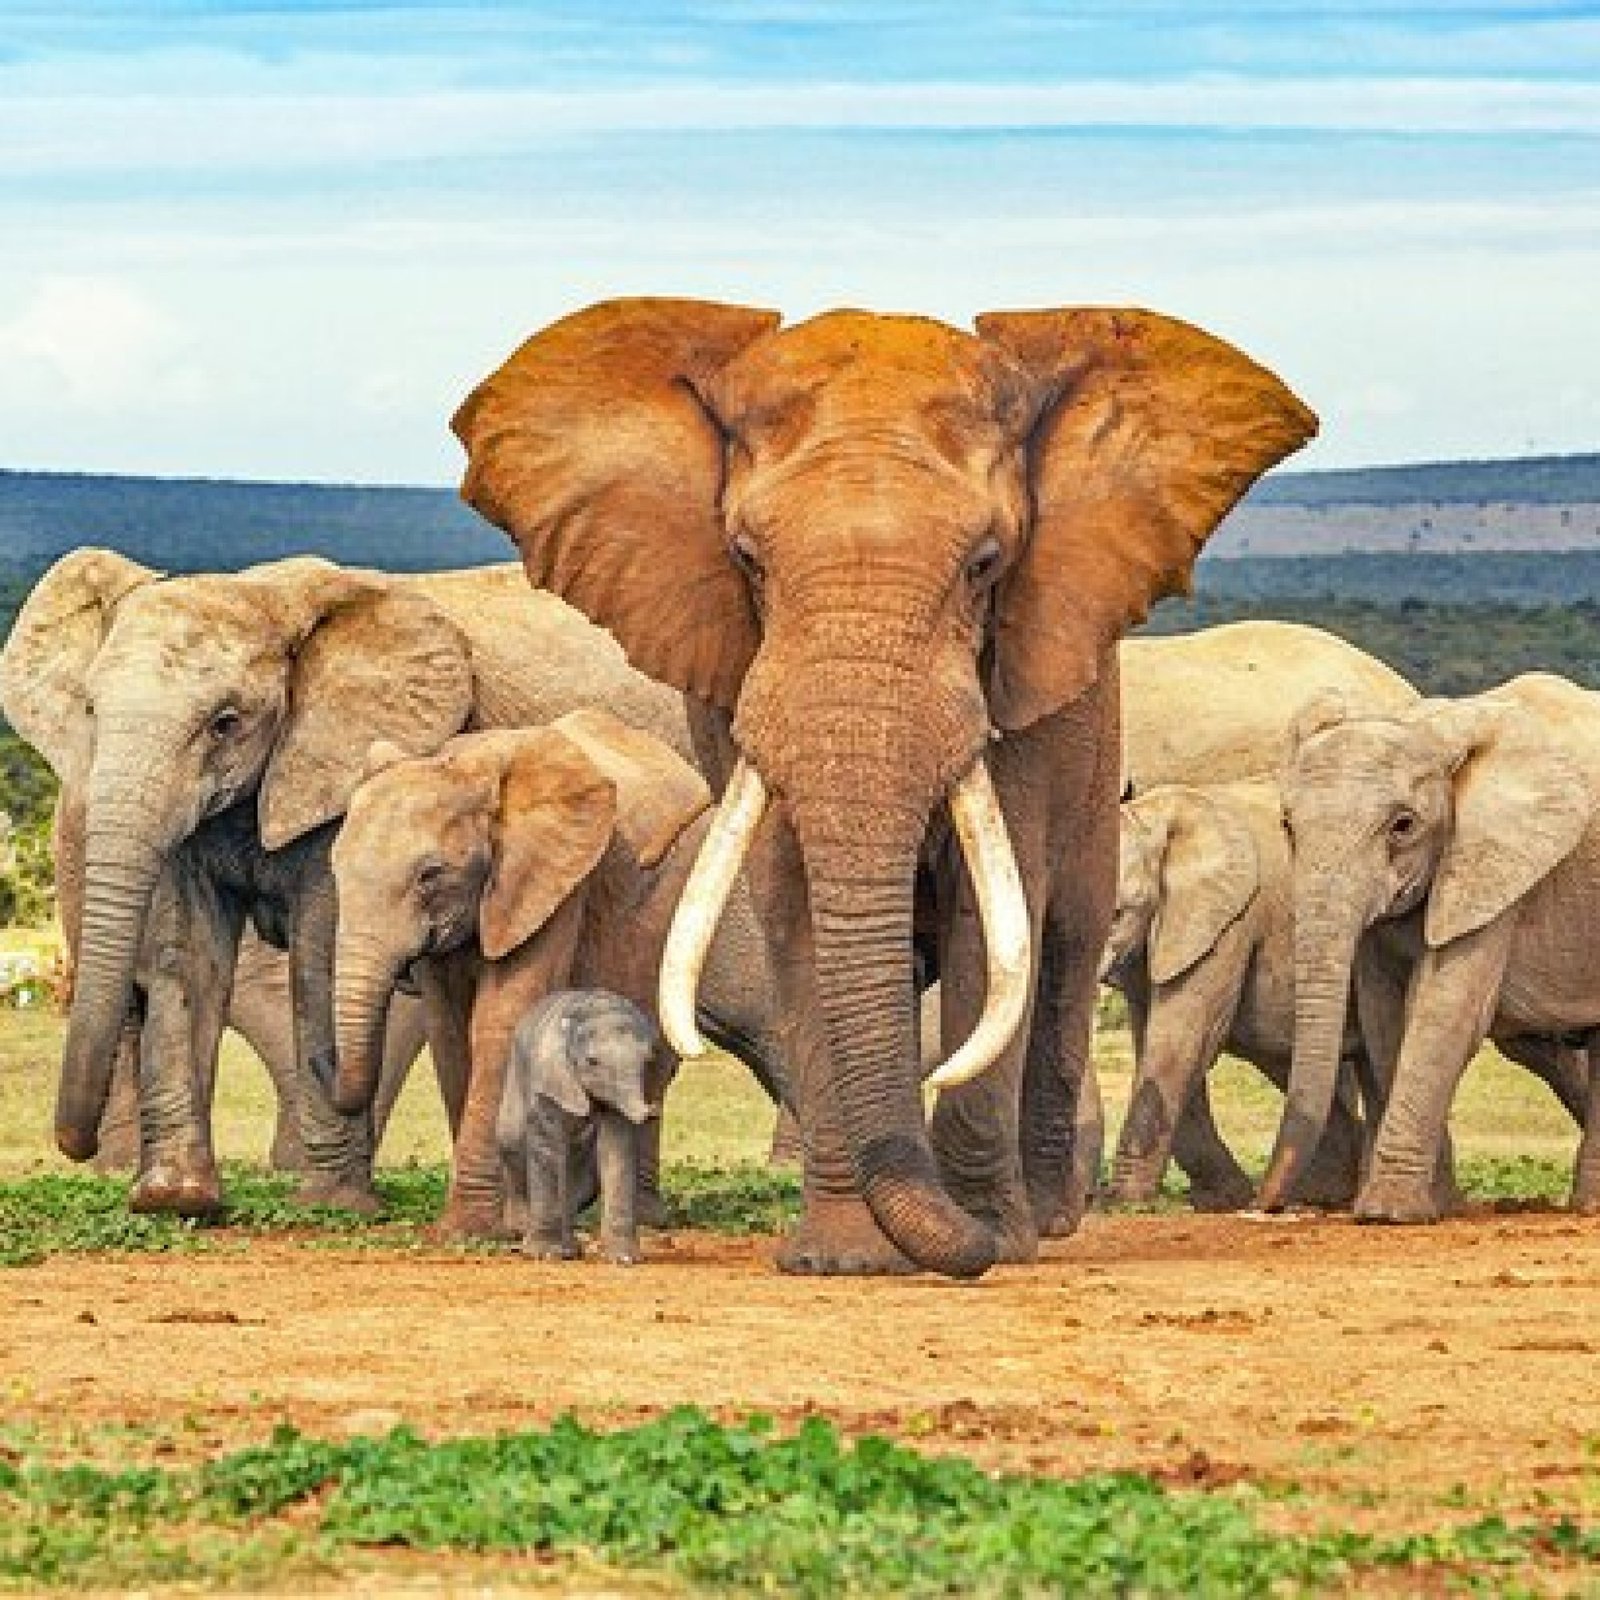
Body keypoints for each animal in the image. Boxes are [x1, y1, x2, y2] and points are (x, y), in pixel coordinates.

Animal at [0, 549, 715, 1213]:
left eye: (226, 722)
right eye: (90, 710)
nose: (77, 1143)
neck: (260, 595)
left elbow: (320, 950)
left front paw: (332, 1204)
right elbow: (190, 956)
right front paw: (176, 1200)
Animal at [497, 988, 661, 1265]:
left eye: (648, 1060)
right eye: (592, 1062)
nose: (653, 1111)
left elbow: (617, 1147)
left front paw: (623, 1258)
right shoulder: (548, 1075)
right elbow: (546, 1143)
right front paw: (545, 1254)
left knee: (580, 1170)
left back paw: (570, 1249)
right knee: (512, 1141)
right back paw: (526, 1238)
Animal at [1100, 779, 1367, 1209]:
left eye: (1117, 914)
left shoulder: (1229, 922)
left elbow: (1182, 1042)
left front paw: (1124, 1204)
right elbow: (1161, 1046)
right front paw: (1225, 1199)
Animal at [1260, 674, 1600, 1221]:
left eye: (1404, 825)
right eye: (1288, 825)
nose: (1267, 1204)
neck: (1432, 731)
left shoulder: (1496, 871)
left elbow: (1444, 1010)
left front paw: (1386, 1214)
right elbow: (1385, 1017)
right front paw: (1435, 1205)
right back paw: (1588, 1206)